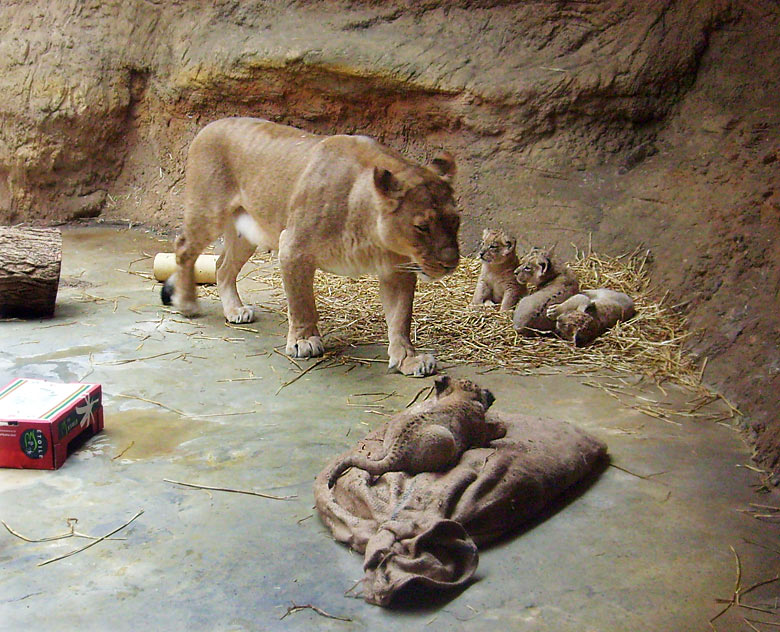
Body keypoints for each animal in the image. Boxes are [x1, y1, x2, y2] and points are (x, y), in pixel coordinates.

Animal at [161, 117, 460, 376]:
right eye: (422, 227)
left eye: (455, 220)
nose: (450, 264)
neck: (370, 231)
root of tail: (211, 124)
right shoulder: (293, 248)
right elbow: (301, 301)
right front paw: (303, 341)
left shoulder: (398, 270)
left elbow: (400, 318)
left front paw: (408, 359)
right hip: (207, 213)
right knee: (184, 248)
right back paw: (187, 303)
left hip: (246, 234)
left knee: (222, 266)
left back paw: (234, 310)